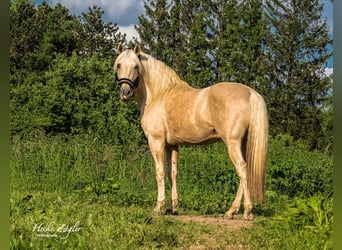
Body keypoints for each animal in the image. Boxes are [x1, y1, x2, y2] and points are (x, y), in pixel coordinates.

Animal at [113, 44, 268, 220]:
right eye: (119, 65)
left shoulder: (156, 141)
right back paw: (231, 211)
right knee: (244, 172)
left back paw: (247, 212)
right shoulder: (171, 145)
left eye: (136, 66)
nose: (125, 93)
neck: (159, 94)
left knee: (241, 168)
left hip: (232, 143)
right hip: (242, 143)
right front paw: (172, 208)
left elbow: (159, 172)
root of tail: (250, 93)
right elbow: (172, 173)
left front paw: (158, 207)